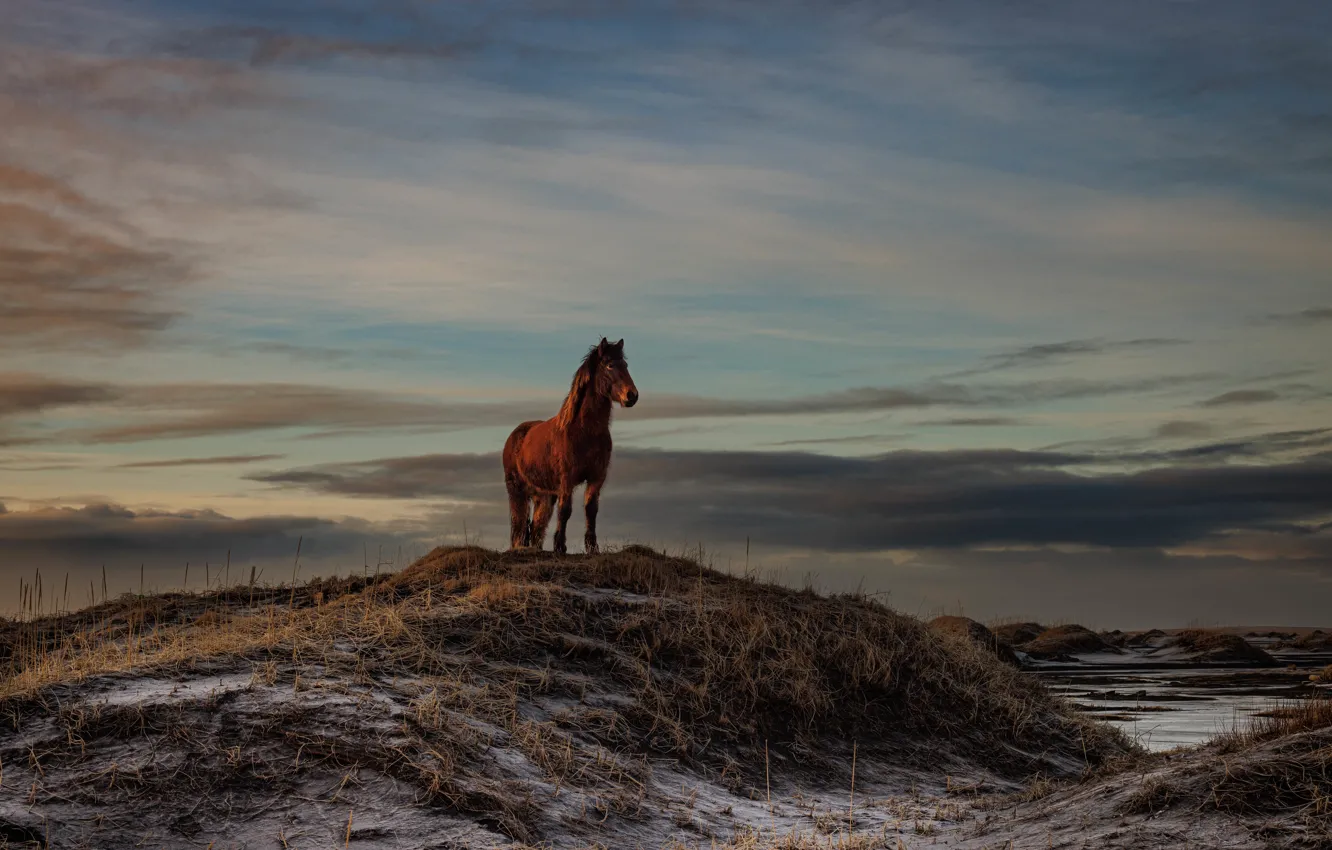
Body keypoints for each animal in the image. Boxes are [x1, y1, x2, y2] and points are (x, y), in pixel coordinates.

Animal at [503, 335, 639, 556]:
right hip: (517, 490)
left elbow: (591, 510)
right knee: (519, 522)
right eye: (610, 365)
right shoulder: (567, 480)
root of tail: (514, 435)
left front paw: (592, 548)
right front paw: (560, 546)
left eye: (625, 365)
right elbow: (565, 510)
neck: (584, 432)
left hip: (544, 495)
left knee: (537, 527)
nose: (632, 396)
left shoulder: (596, 477)